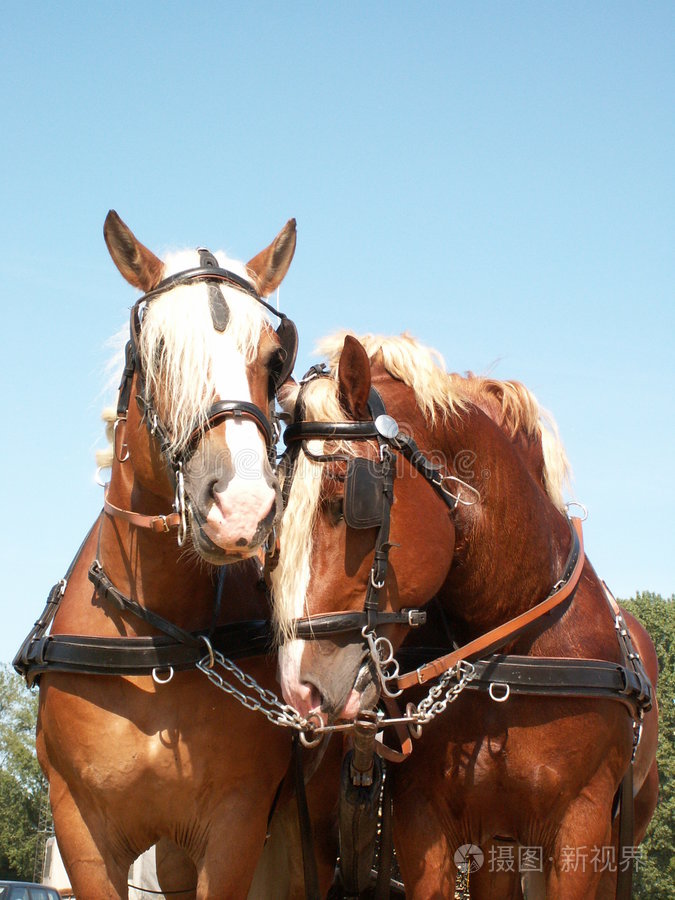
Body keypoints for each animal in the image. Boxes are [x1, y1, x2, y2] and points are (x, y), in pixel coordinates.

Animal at [14, 211, 341, 899]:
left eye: (274, 358)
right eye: (158, 352)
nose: (242, 506)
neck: (152, 639)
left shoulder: (235, 825)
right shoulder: (80, 828)